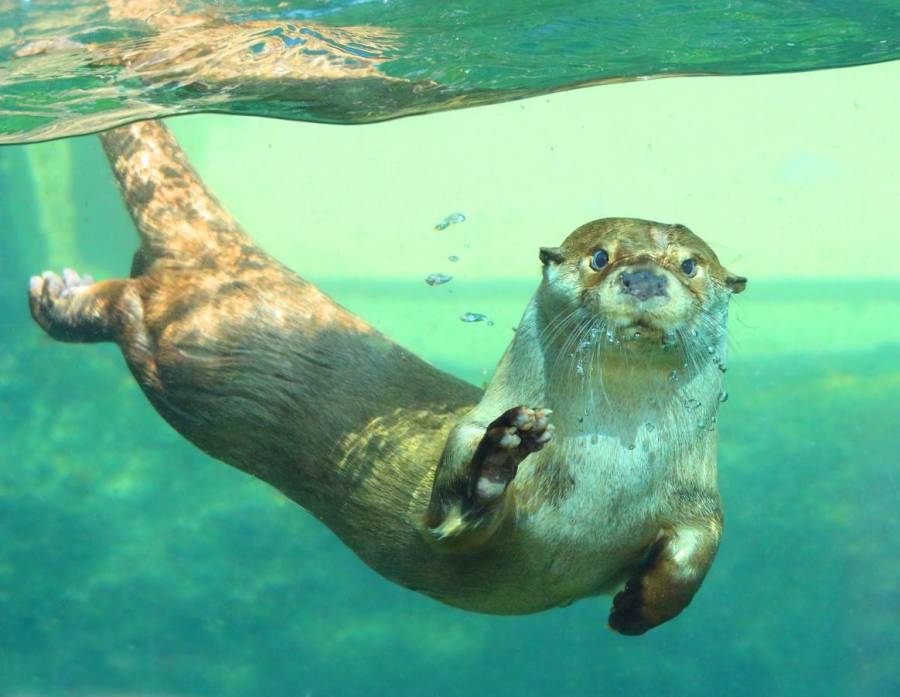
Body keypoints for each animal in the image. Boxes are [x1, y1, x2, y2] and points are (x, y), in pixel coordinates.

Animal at [26, 121, 744, 636]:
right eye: (599, 256)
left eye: (689, 265)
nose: (644, 277)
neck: (610, 470)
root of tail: (228, 254)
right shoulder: (465, 453)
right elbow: (451, 515)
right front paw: (500, 455)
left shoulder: (697, 498)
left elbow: (701, 549)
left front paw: (637, 607)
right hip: (182, 349)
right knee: (129, 305)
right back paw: (58, 296)